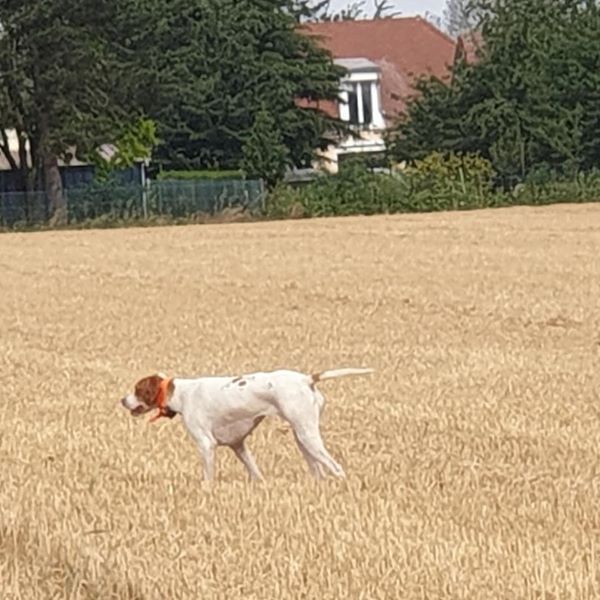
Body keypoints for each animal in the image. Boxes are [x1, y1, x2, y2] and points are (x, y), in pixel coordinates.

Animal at [119, 366, 372, 482]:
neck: (181, 393)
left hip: (308, 436)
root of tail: (306, 378)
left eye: (137, 389)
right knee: (319, 471)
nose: (122, 400)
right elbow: (256, 473)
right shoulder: (238, 445)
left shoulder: (206, 445)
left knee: (336, 468)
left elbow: (207, 478)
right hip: (302, 438)